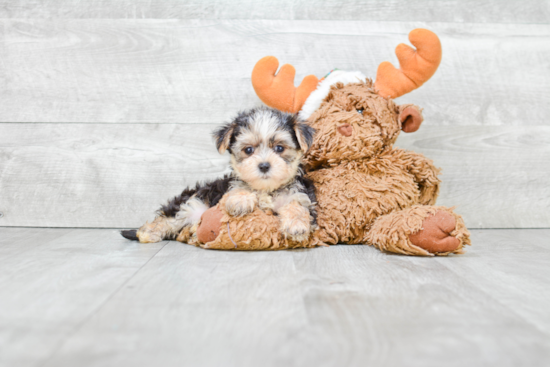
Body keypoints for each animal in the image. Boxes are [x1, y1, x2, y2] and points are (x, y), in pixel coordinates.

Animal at [122, 106, 316, 244]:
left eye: (279, 148)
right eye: (248, 150)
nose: (264, 165)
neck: (266, 190)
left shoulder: (300, 194)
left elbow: (298, 205)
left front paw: (297, 226)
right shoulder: (230, 187)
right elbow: (238, 188)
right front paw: (240, 200)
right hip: (192, 203)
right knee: (170, 218)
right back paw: (147, 233)